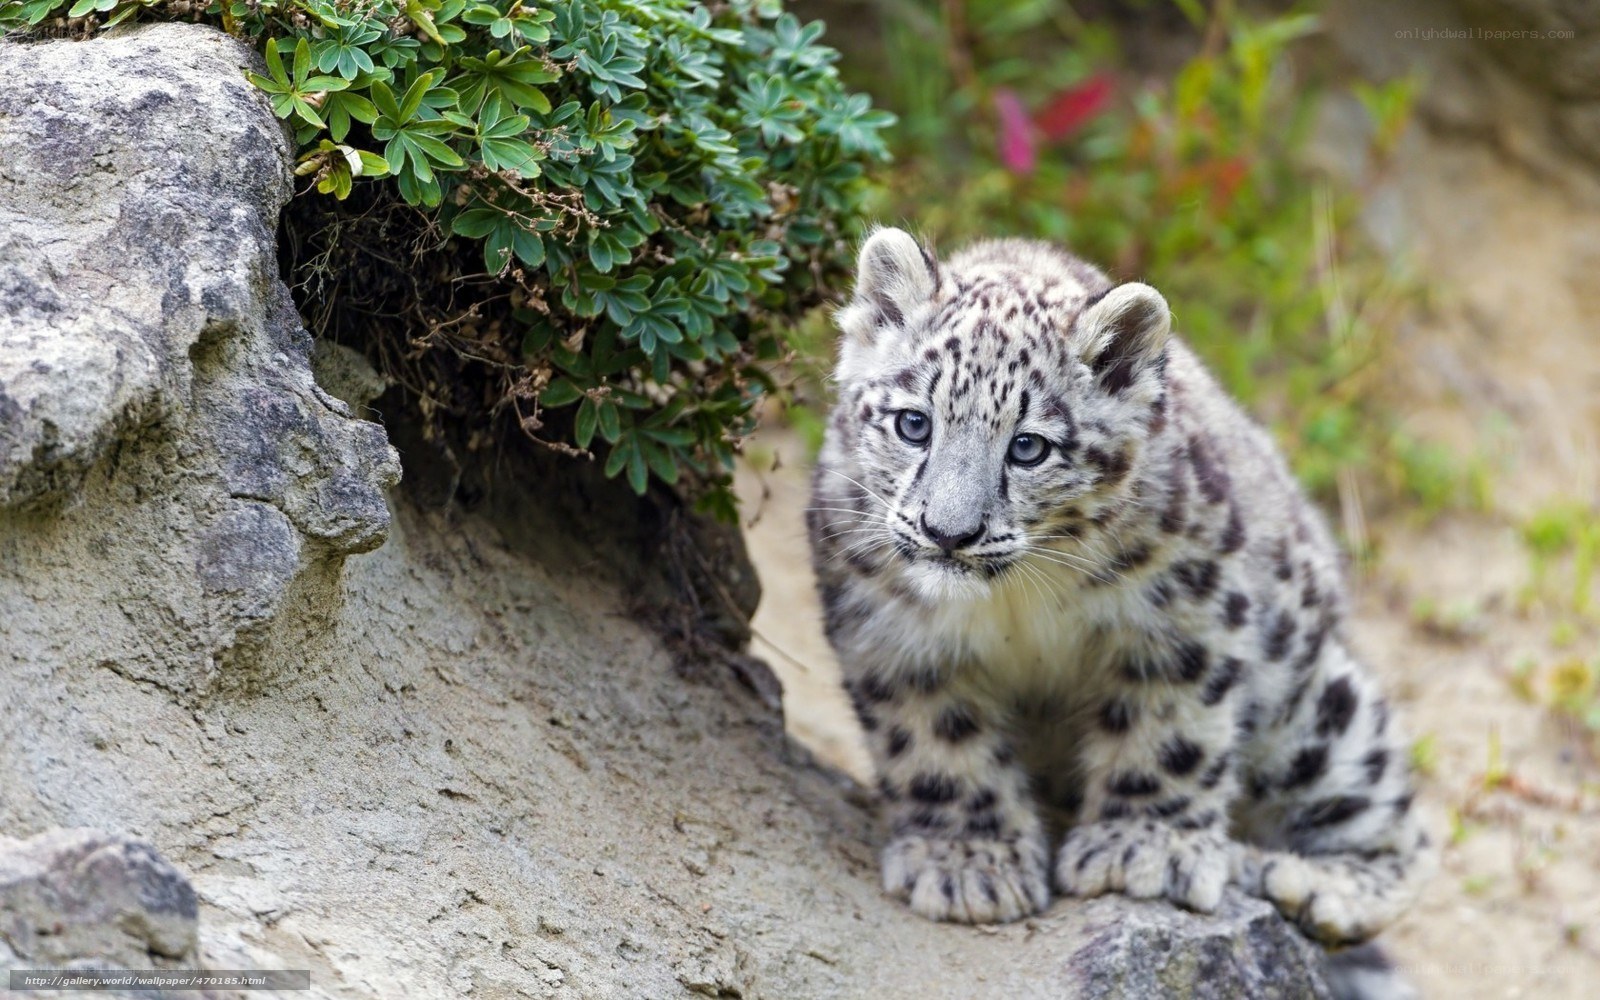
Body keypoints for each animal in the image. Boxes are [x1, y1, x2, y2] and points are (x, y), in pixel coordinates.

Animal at [806, 228, 1433, 992]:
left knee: (1398, 826)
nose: (948, 532)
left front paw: (1144, 848)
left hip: (1318, 709)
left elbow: (1169, 732)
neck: (1014, 604)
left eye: (1028, 445)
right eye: (913, 423)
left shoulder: (1184, 614)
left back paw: (1306, 885)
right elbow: (935, 743)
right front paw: (968, 862)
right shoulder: (889, 631)